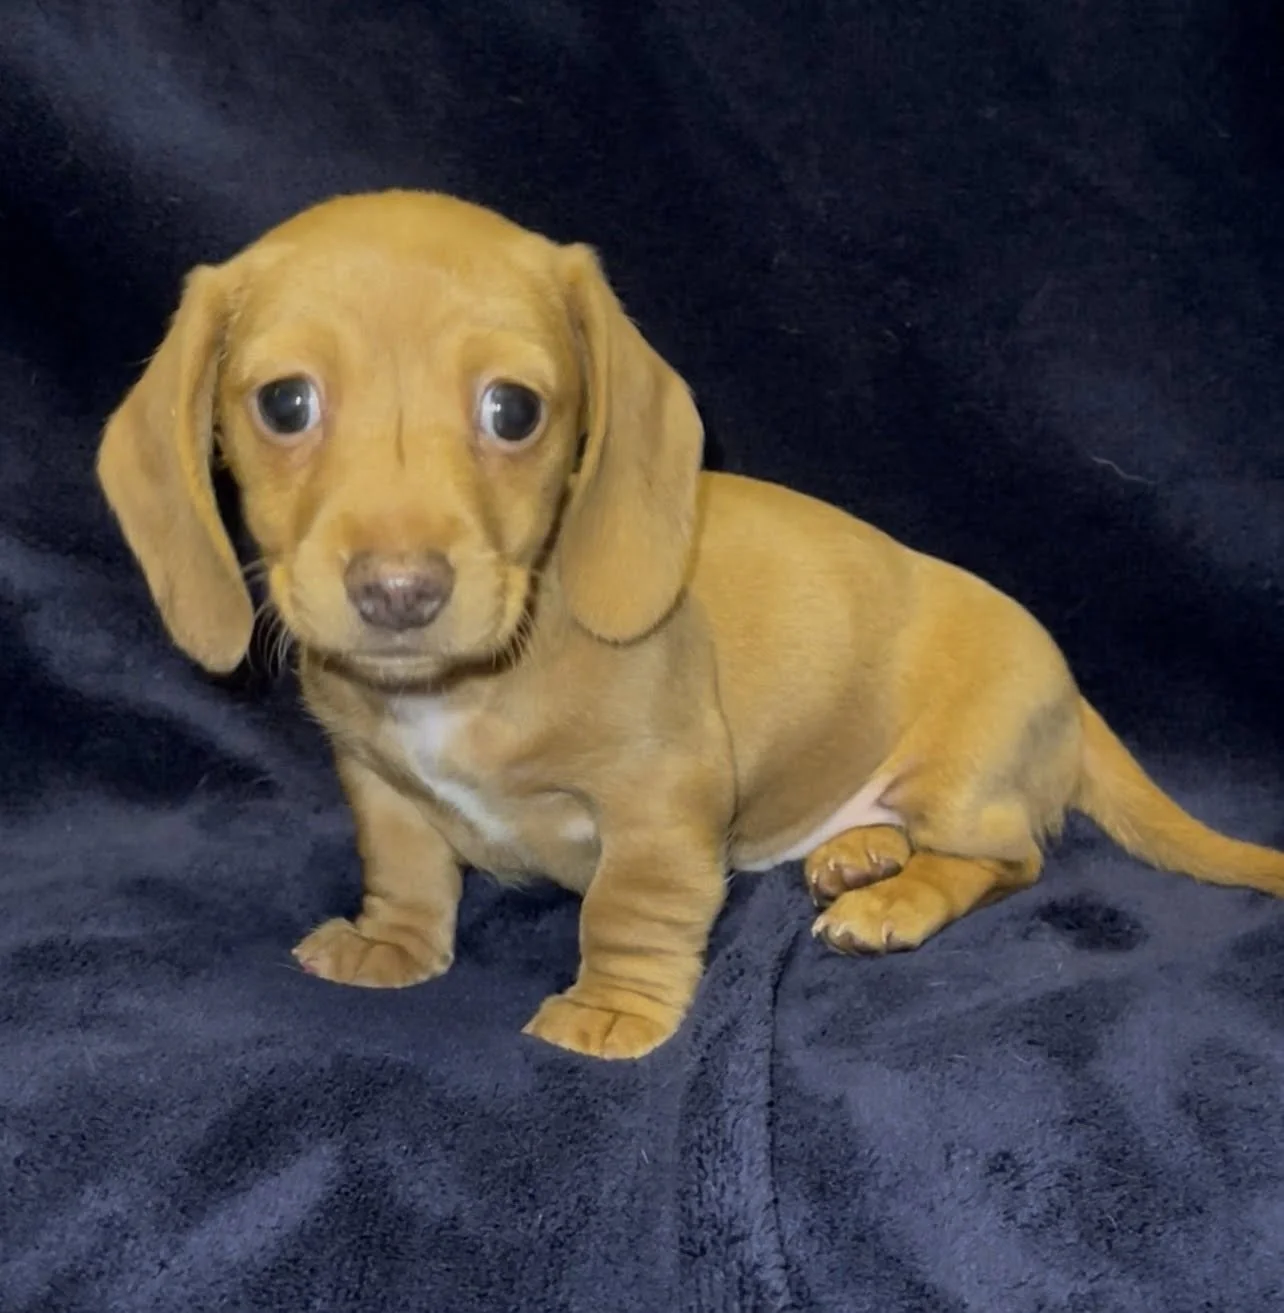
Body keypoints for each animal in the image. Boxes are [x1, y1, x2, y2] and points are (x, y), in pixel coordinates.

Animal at [96, 190, 1284, 1059]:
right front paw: (395, 943)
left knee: (1010, 856)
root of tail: (1071, 690)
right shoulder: (377, 782)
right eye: (285, 402)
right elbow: (407, 865)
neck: (466, 683)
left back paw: (896, 898)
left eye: (513, 410)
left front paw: (611, 1009)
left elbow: (627, 908)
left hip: (959, 776)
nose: (400, 591)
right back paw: (858, 851)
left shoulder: (662, 800)